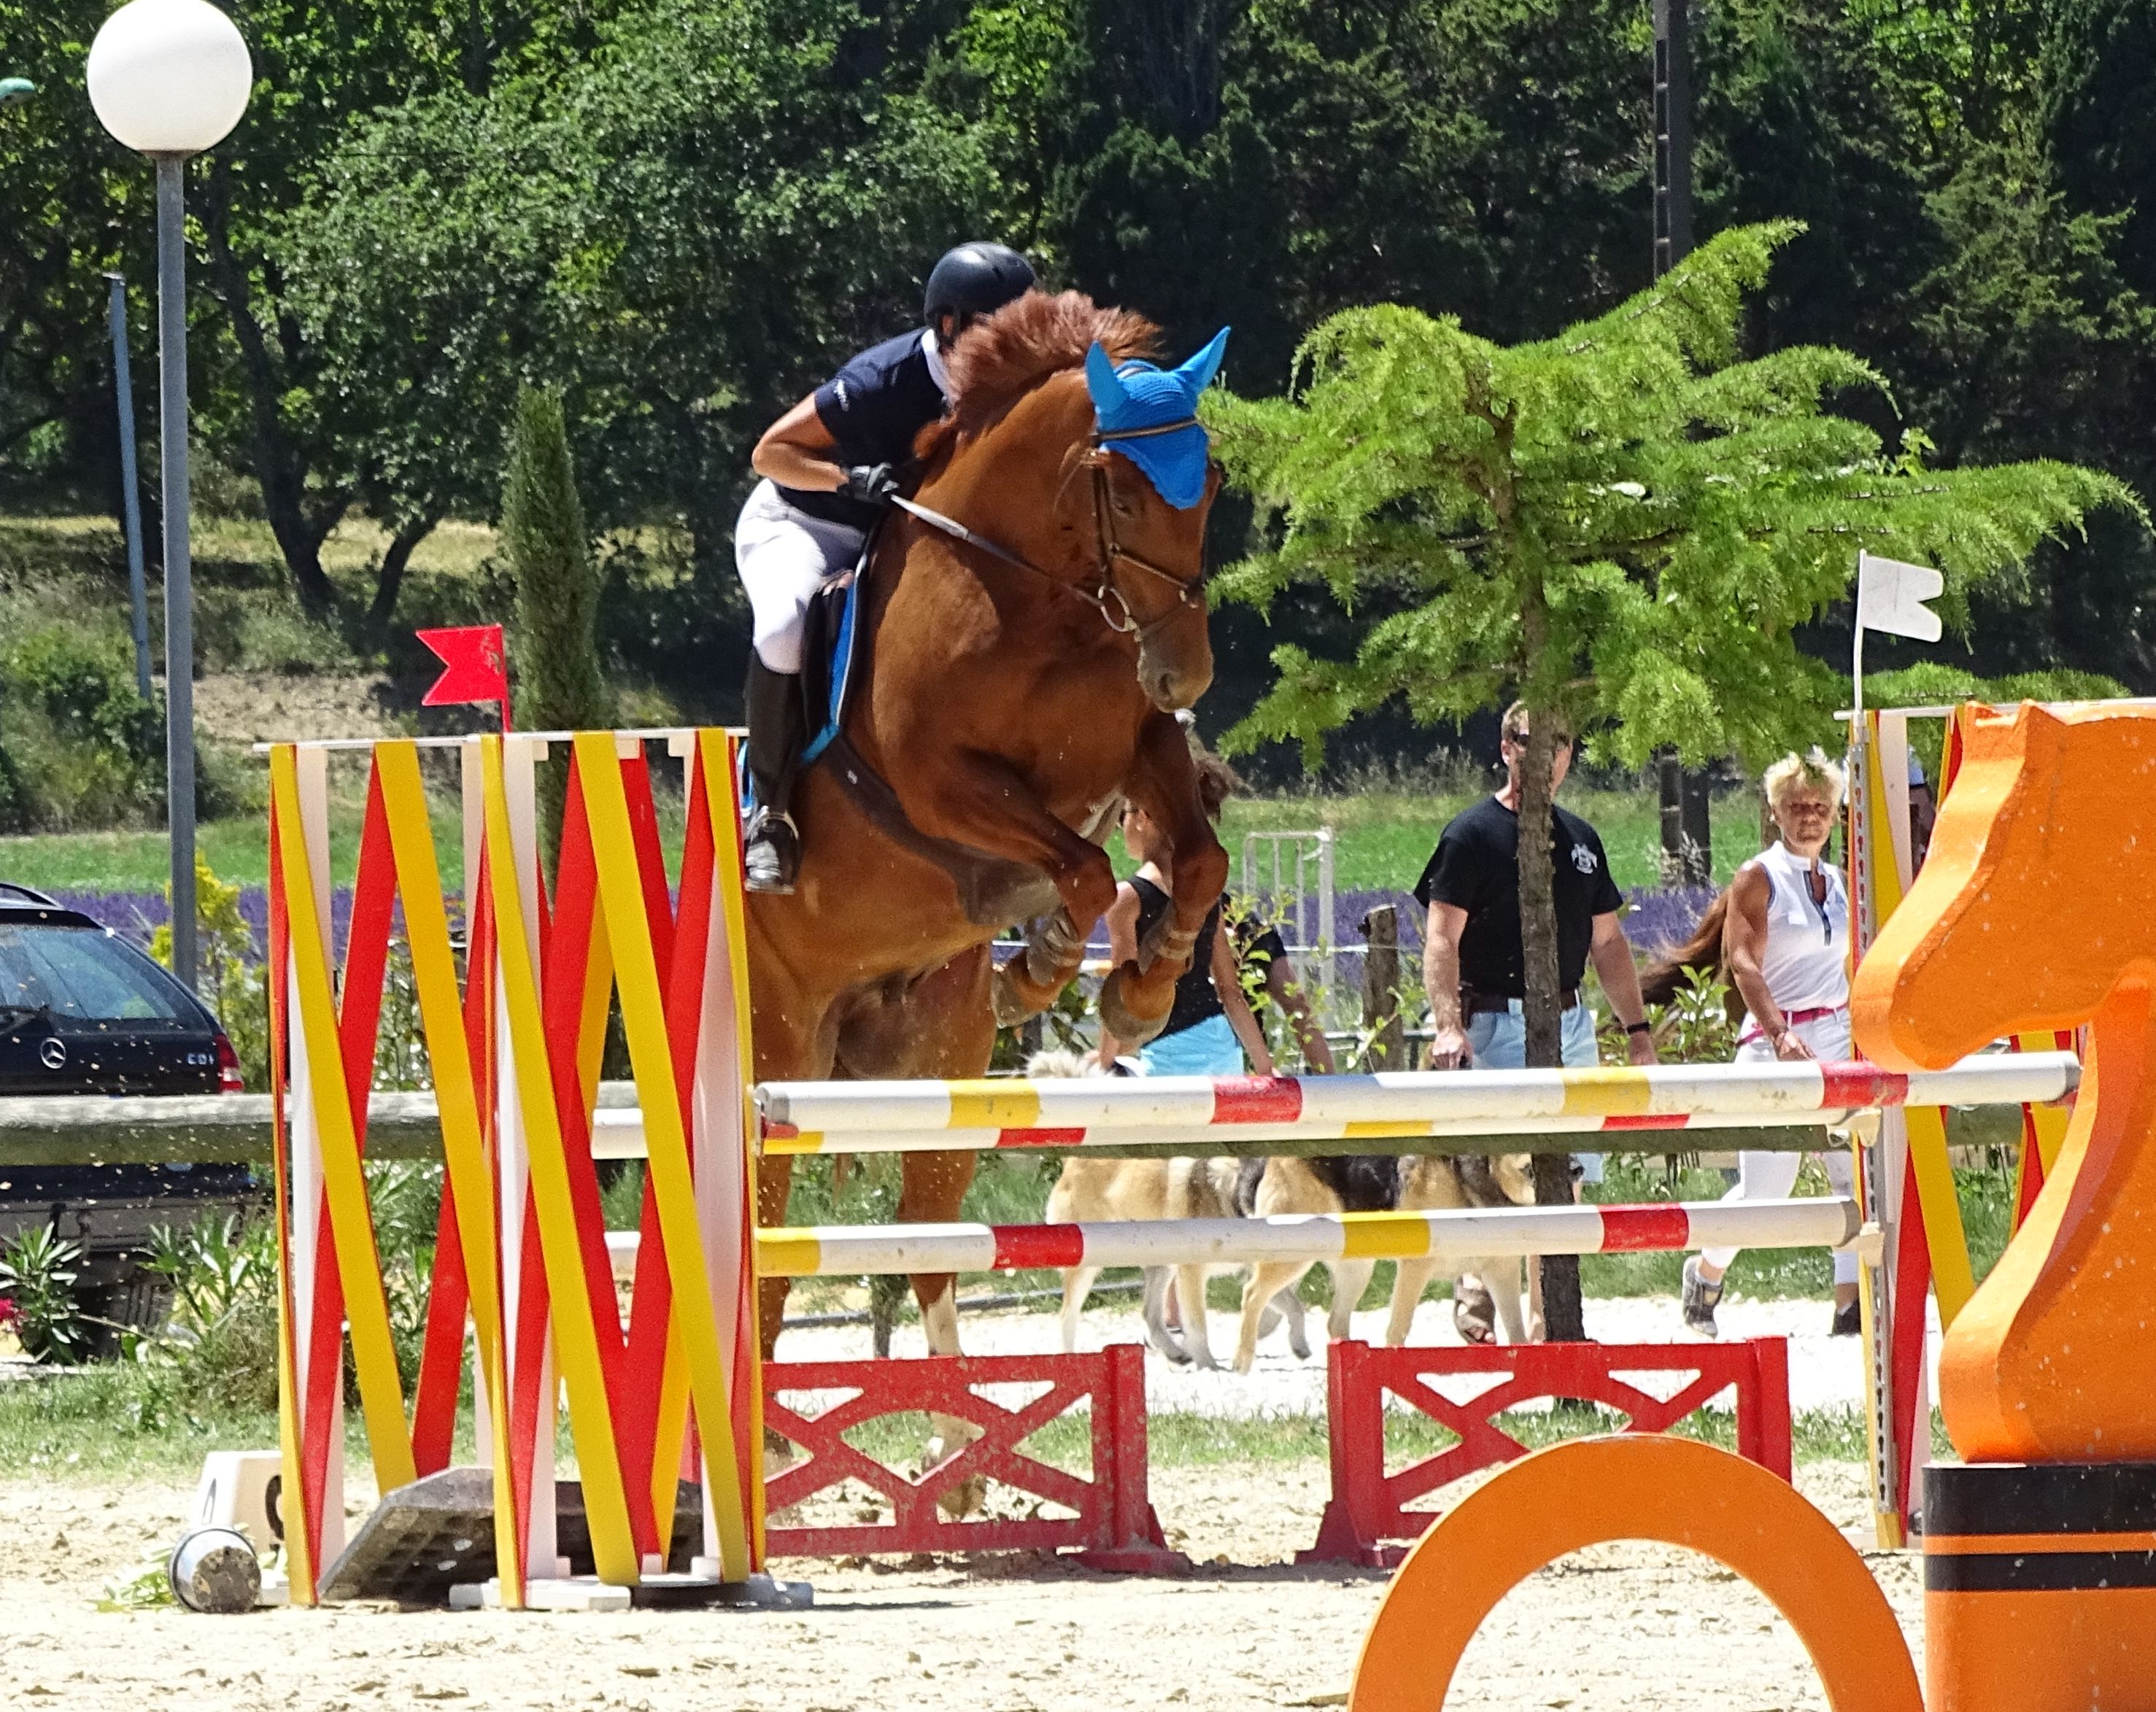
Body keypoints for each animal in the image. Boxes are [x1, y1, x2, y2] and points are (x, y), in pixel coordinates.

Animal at [750, 293, 1233, 1379]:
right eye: (1123, 493)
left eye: (1214, 481)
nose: (1186, 674)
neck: (1030, 591)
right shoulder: (943, 784)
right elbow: (1087, 869)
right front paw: (1047, 960)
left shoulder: (1140, 742)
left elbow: (1196, 859)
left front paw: (1137, 991)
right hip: (778, 1055)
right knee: (763, 1267)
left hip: (942, 1069)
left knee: (927, 1250)